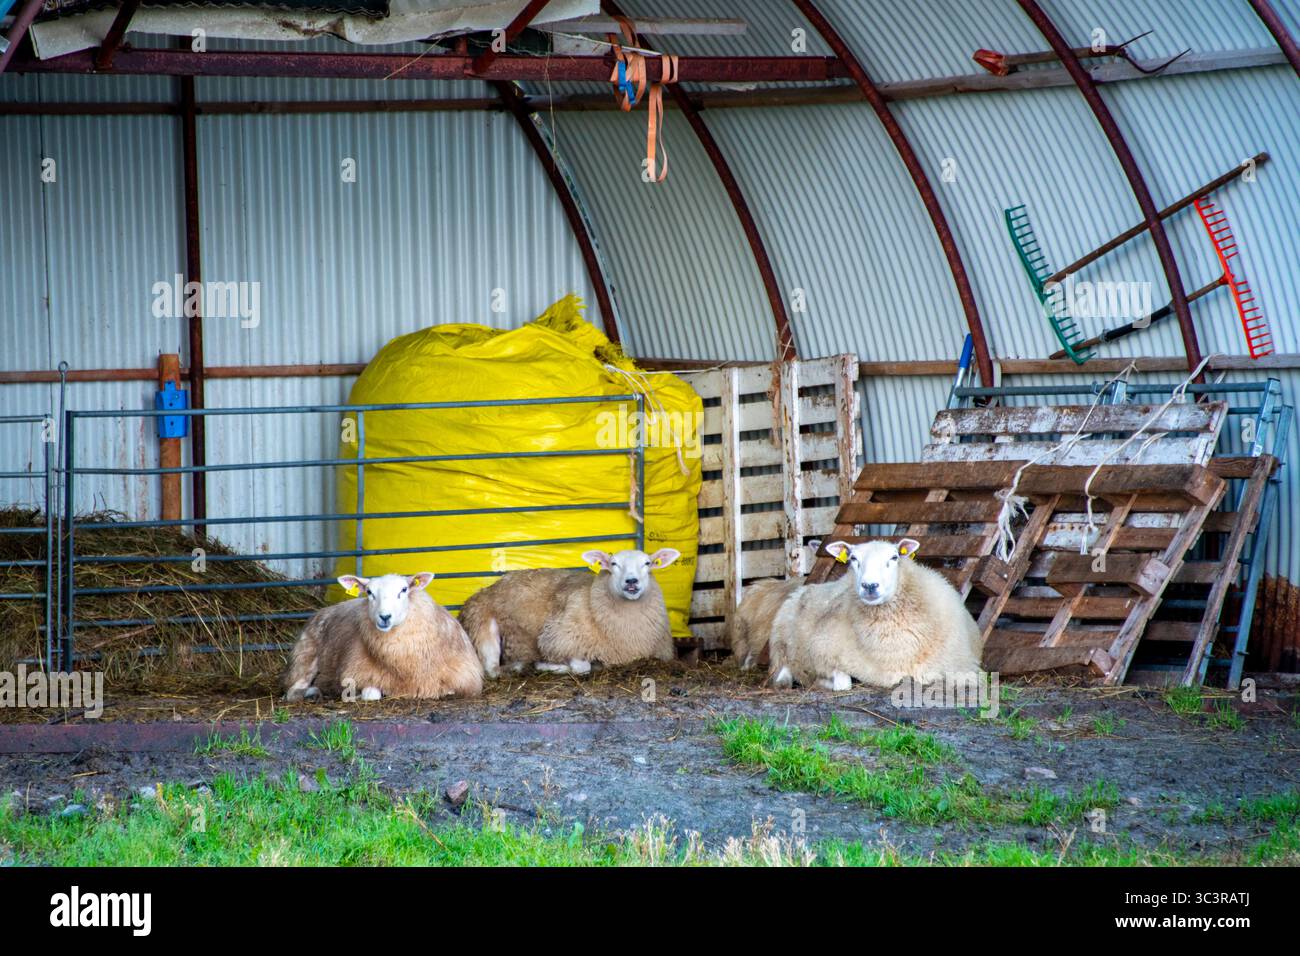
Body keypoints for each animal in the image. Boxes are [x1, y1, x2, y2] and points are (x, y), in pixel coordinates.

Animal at [284, 572, 483, 702]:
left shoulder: (467, 679)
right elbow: (370, 694)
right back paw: (312, 693)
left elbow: (448, 690)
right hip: (305, 656)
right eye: (369, 592)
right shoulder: (355, 676)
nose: (385, 616)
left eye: (404, 589)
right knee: (292, 691)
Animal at [459, 548, 680, 677]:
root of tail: (489, 588)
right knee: (492, 670)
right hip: (483, 628)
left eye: (647, 563)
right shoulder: (558, 639)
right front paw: (548, 666)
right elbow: (581, 667)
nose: (631, 581)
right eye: (613, 564)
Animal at [767, 539, 982, 691]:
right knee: (784, 668)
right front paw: (820, 681)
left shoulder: (963, 663)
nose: (869, 585)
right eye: (853, 559)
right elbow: (842, 683)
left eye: (894, 557)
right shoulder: (823, 652)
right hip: (781, 641)